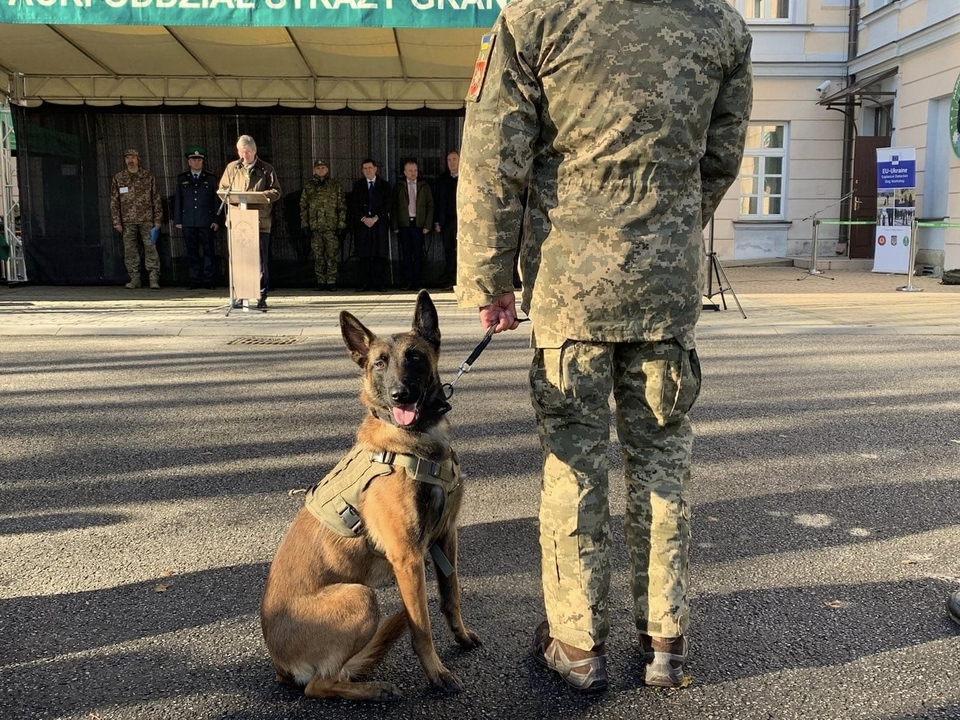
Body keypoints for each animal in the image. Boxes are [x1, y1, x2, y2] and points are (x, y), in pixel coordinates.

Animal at [260, 290, 480, 700]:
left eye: (415, 357)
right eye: (379, 363)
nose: (400, 395)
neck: (415, 438)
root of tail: (279, 665)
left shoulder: (446, 536)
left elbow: (451, 595)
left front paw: (460, 635)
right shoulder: (408, 558)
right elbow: (420, 627)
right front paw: (437, 674)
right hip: (360, 596)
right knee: (318, 685)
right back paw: (373, 689)